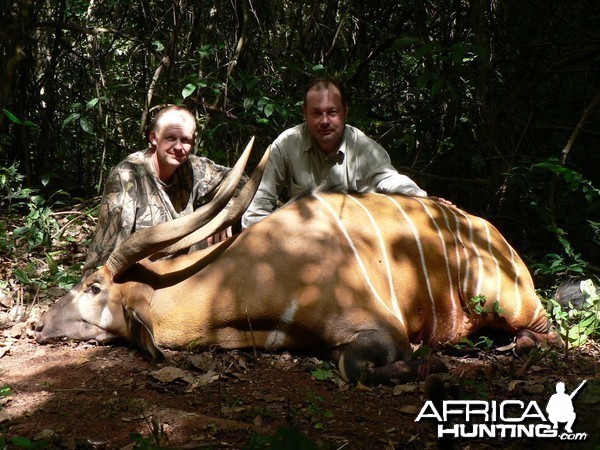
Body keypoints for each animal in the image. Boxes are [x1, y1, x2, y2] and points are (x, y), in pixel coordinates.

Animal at [36, 139, 564, 384]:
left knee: (548, 332)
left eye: (94, 287)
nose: (38, 324)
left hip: (505, 301)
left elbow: (357, 365)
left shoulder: (383, 331)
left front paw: (430, 366)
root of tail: (498, 238)